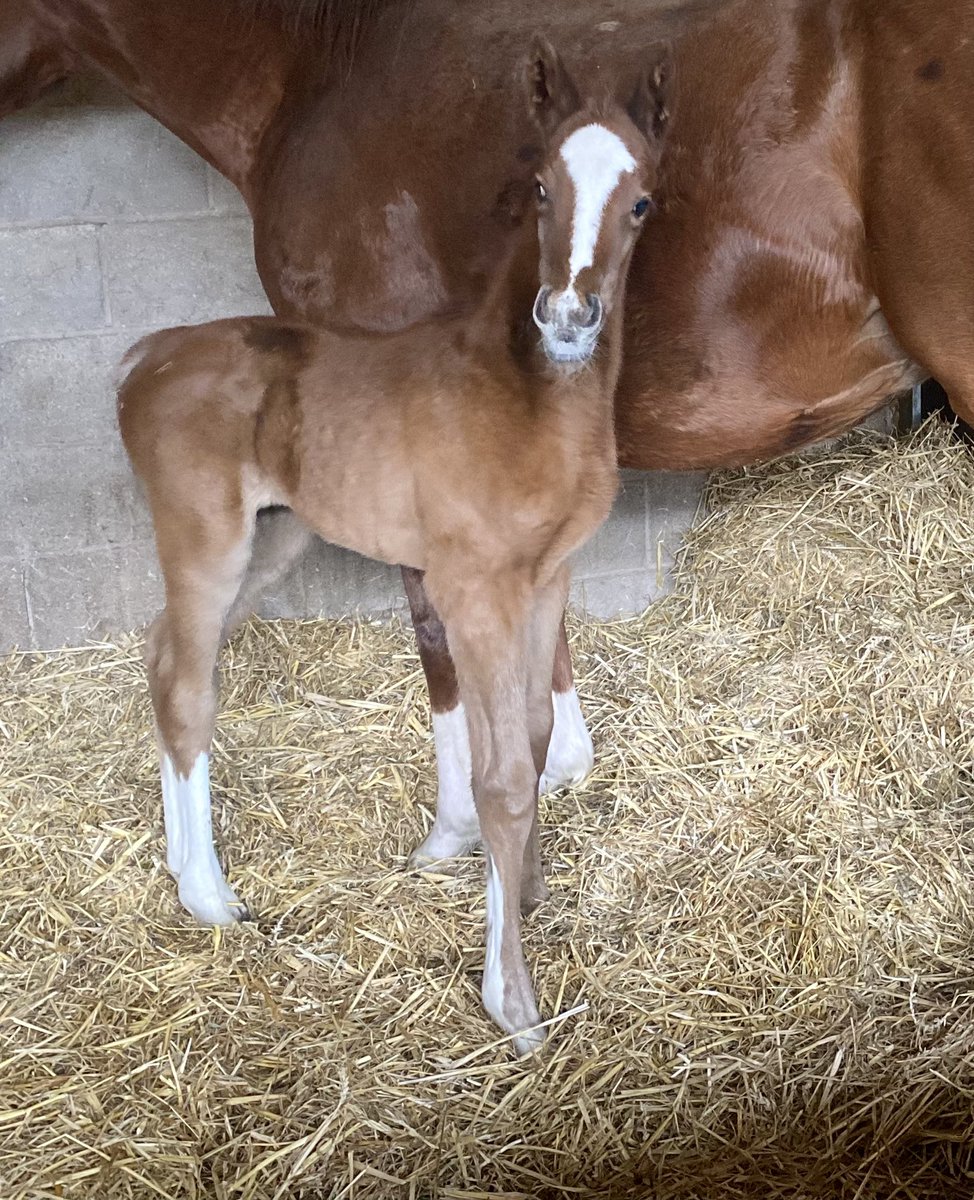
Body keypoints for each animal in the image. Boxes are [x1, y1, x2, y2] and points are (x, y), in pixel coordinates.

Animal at [116, 39, 670, 1051]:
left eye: (642, 201)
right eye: (540, 186)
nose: (568, 317)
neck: (531, 400)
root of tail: (147, 357)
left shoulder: (549, 579)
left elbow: (538, 739)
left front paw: (528, 892)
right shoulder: (473, 590)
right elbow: (500, 778)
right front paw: (511, 1003)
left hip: (274, 543)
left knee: (161, 653)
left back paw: (184, 876)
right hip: (205, 543)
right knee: (185, 686)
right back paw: (214, 899)